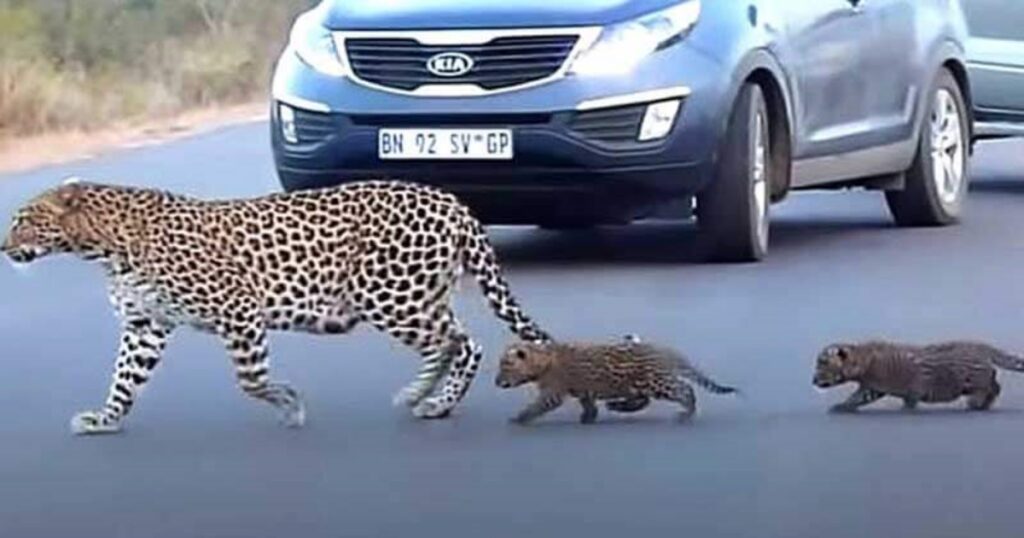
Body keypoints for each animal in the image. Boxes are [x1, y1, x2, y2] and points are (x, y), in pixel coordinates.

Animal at [0, 178, 552, 434]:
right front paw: (106, 419)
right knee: (456, 341)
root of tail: (451, 200)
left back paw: (426, 398)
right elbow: (123, 379)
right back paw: (432, 398)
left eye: (23, 220)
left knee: (460, 343)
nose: (4, 248)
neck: (103, 247)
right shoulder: (145, 325)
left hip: (388, 294)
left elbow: (250, 378)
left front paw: (288, 402)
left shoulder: (238, 311)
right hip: (417, 293)